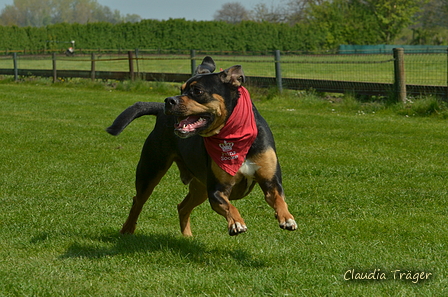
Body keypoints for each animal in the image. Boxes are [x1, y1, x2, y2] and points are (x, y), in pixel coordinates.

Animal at [107, 56, 298, 236]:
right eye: (181, 89)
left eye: (197, 91)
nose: (169, 100)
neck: (233, 134)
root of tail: (160, 111)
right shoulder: (216, 190)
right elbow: (229, 206)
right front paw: (236, 223)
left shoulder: (271, 181)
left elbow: (279, 198)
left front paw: (287, 218)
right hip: (151, 170)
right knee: (138, 201)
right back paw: (127, 229)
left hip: (199, 185)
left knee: (182, 207)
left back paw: (187, 237)